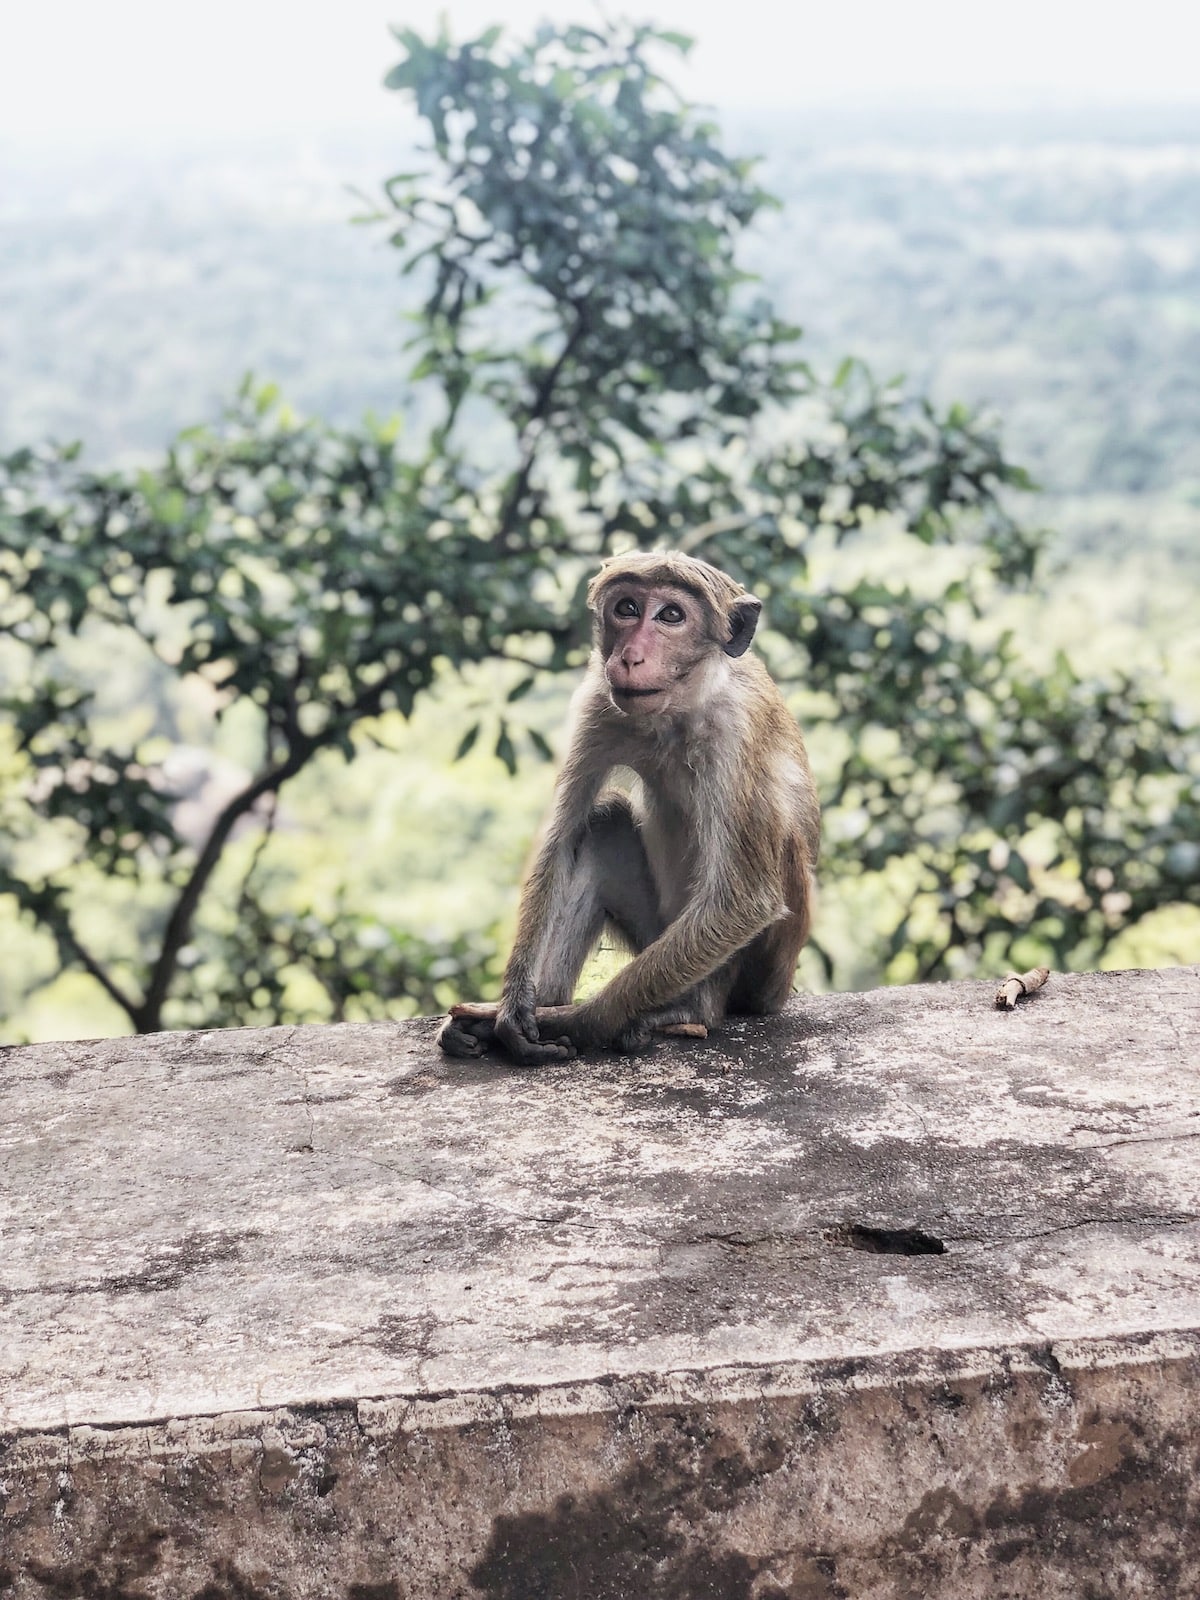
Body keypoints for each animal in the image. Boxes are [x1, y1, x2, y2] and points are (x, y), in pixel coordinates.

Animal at [438, 550, 825, 1062]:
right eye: (627, 608)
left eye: (671, 616)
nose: (629, 655)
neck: (678, 710)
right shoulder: (597, 704)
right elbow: (560, 838)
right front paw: (515, 1005)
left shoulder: (737, 729)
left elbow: (744, 902)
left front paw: (580, 1019)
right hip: (654, 933)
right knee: (603, 822)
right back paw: (538, 1004)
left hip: (758, 973)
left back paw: (687, 1012)